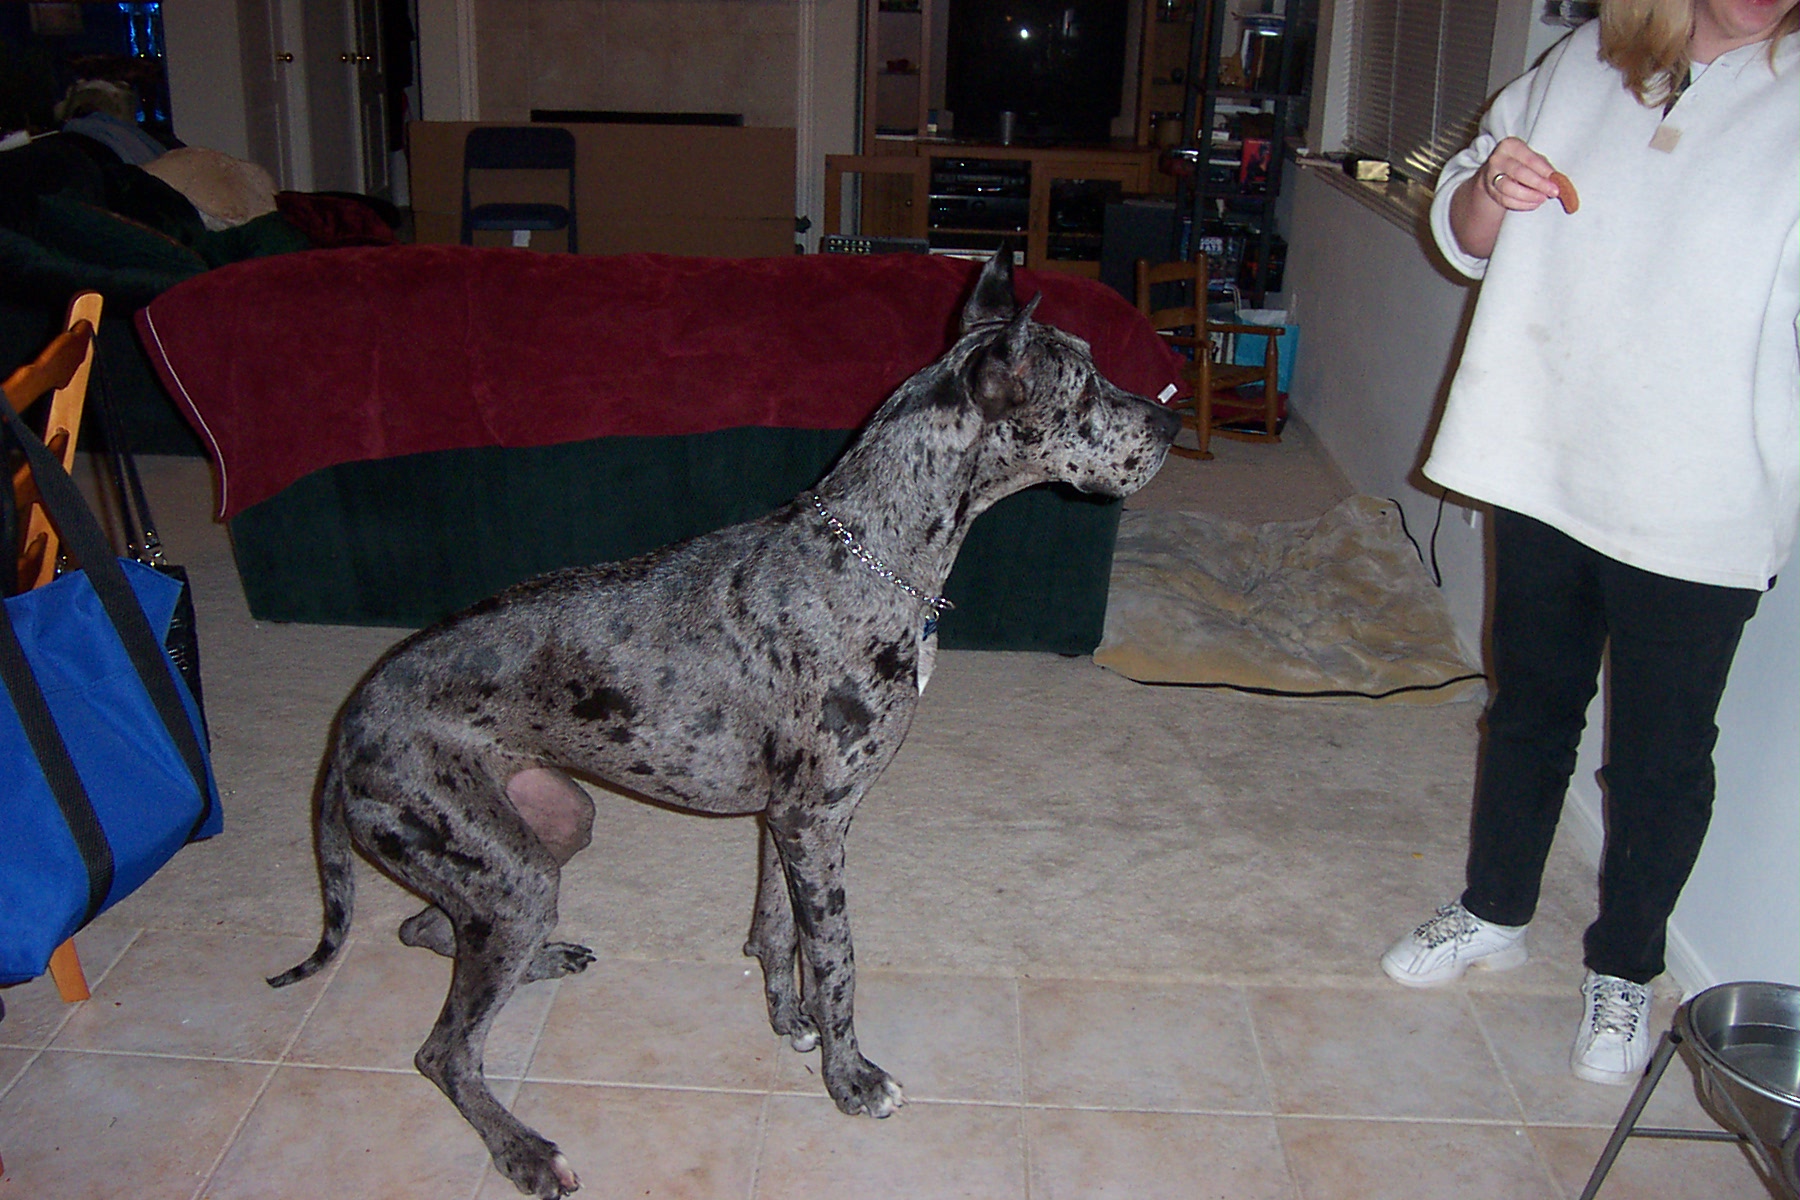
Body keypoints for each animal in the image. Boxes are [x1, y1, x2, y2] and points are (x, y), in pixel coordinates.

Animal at [269, 253, 1181, 1198]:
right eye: (1083, 387)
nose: (1173, 419)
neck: (870, 555)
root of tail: (348, 726)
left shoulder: (788, 823)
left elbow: (774, 932)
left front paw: (787, 1021)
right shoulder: (816, 823)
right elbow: (837, 959)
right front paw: (852, 1080)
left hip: (544, 832)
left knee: (426, 929)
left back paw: (539, 964)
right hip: (508, 872)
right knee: (444, 1050)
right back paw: (523, 1149)